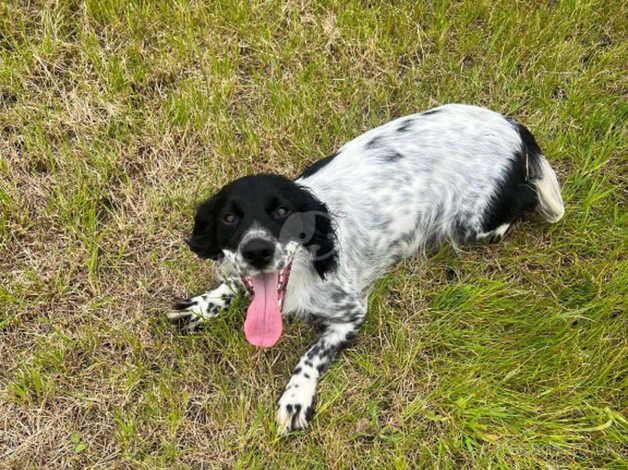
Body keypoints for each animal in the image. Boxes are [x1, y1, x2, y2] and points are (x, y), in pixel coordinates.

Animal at [167, 103, 564, 434]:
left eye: (281, 211)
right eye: (229, 218)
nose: (257, 251)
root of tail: (512, 127)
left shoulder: (352, 314)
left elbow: (310, 356)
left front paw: (295, 398)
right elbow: (232, 282)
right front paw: (203, 306)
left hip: (474, 224)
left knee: (528, 196)